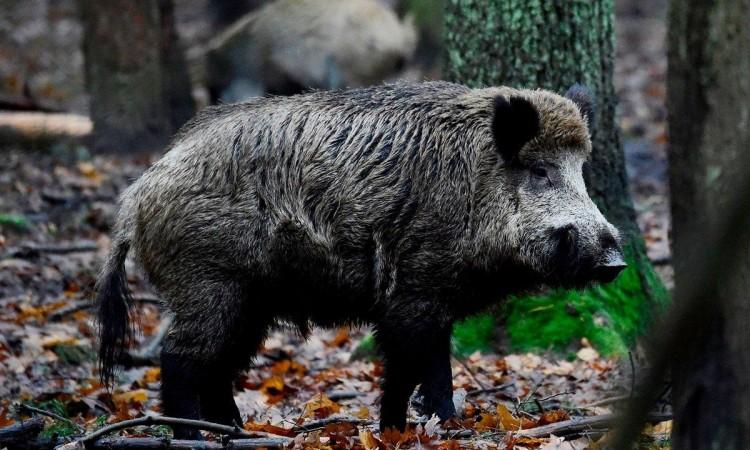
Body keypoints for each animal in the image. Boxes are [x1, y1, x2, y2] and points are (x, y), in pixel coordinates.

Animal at [96, 82, 625, 438]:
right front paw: (398, 430)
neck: (473, 189)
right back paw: (193, 436)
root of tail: (136, 197)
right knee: (180, 358)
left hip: (248, 302)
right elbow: (408, 367)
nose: (616, 261)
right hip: (209, 284)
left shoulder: (435, 300)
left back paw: (236, 430)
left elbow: (437, 368)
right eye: (539, 171)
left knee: (219, 365)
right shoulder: (412, 295)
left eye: (581, 170)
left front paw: (445, 425)